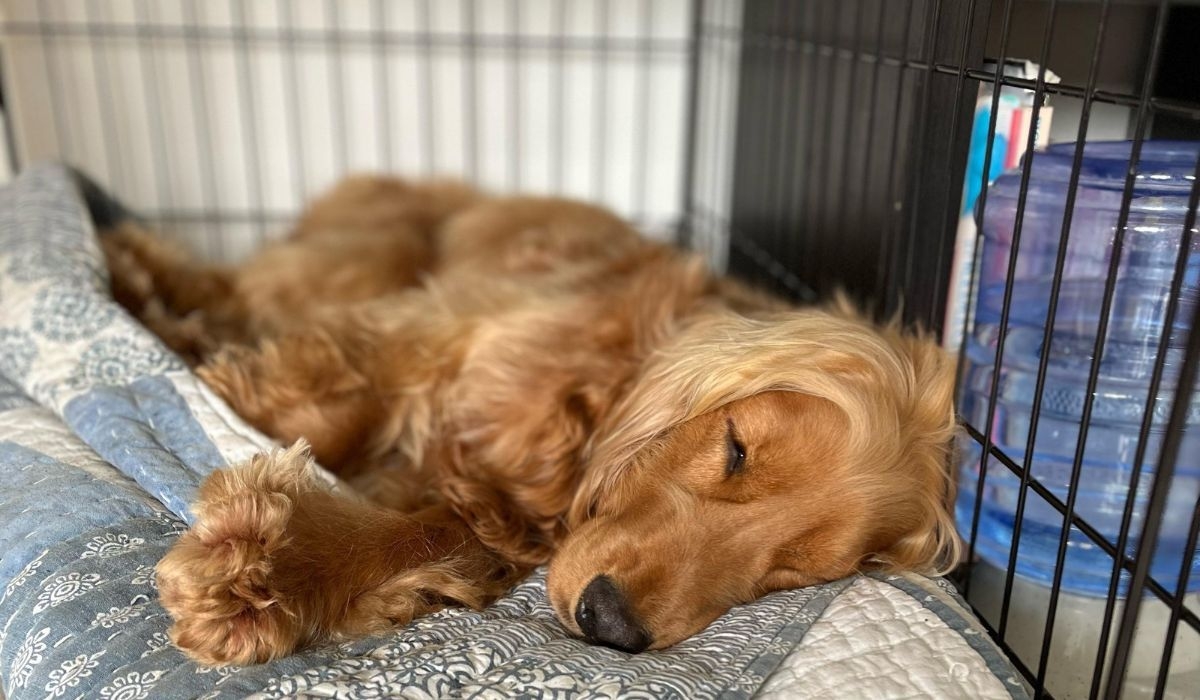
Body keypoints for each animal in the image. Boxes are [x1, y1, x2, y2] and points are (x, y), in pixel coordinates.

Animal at [105, 176, 964, 667]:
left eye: (793, 572)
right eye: (736, 448)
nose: (611, 624)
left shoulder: (497, 519)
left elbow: (429, 531)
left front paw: (285, 576)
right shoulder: (424, 339)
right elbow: (334, 404)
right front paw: (258, 564)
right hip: (360, 255)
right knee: (230, 286)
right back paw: (141, 280)